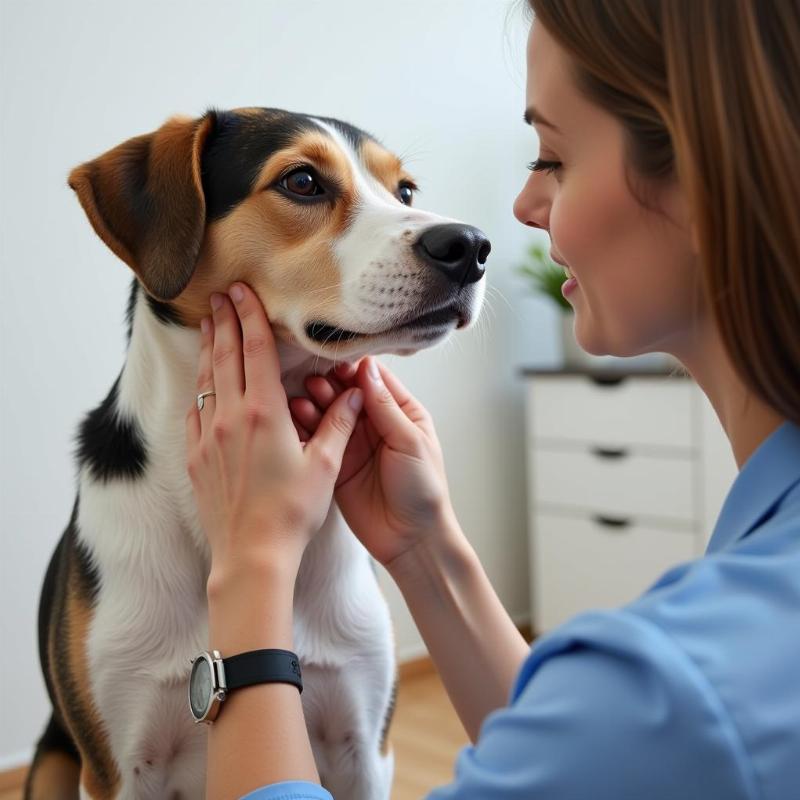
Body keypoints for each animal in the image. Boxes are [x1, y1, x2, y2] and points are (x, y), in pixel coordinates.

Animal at [26, 106, 488, 800]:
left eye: (404, 192)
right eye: (302, 182)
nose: (471, 246)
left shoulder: (364, 745)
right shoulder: (119, 768)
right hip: (57, 758)